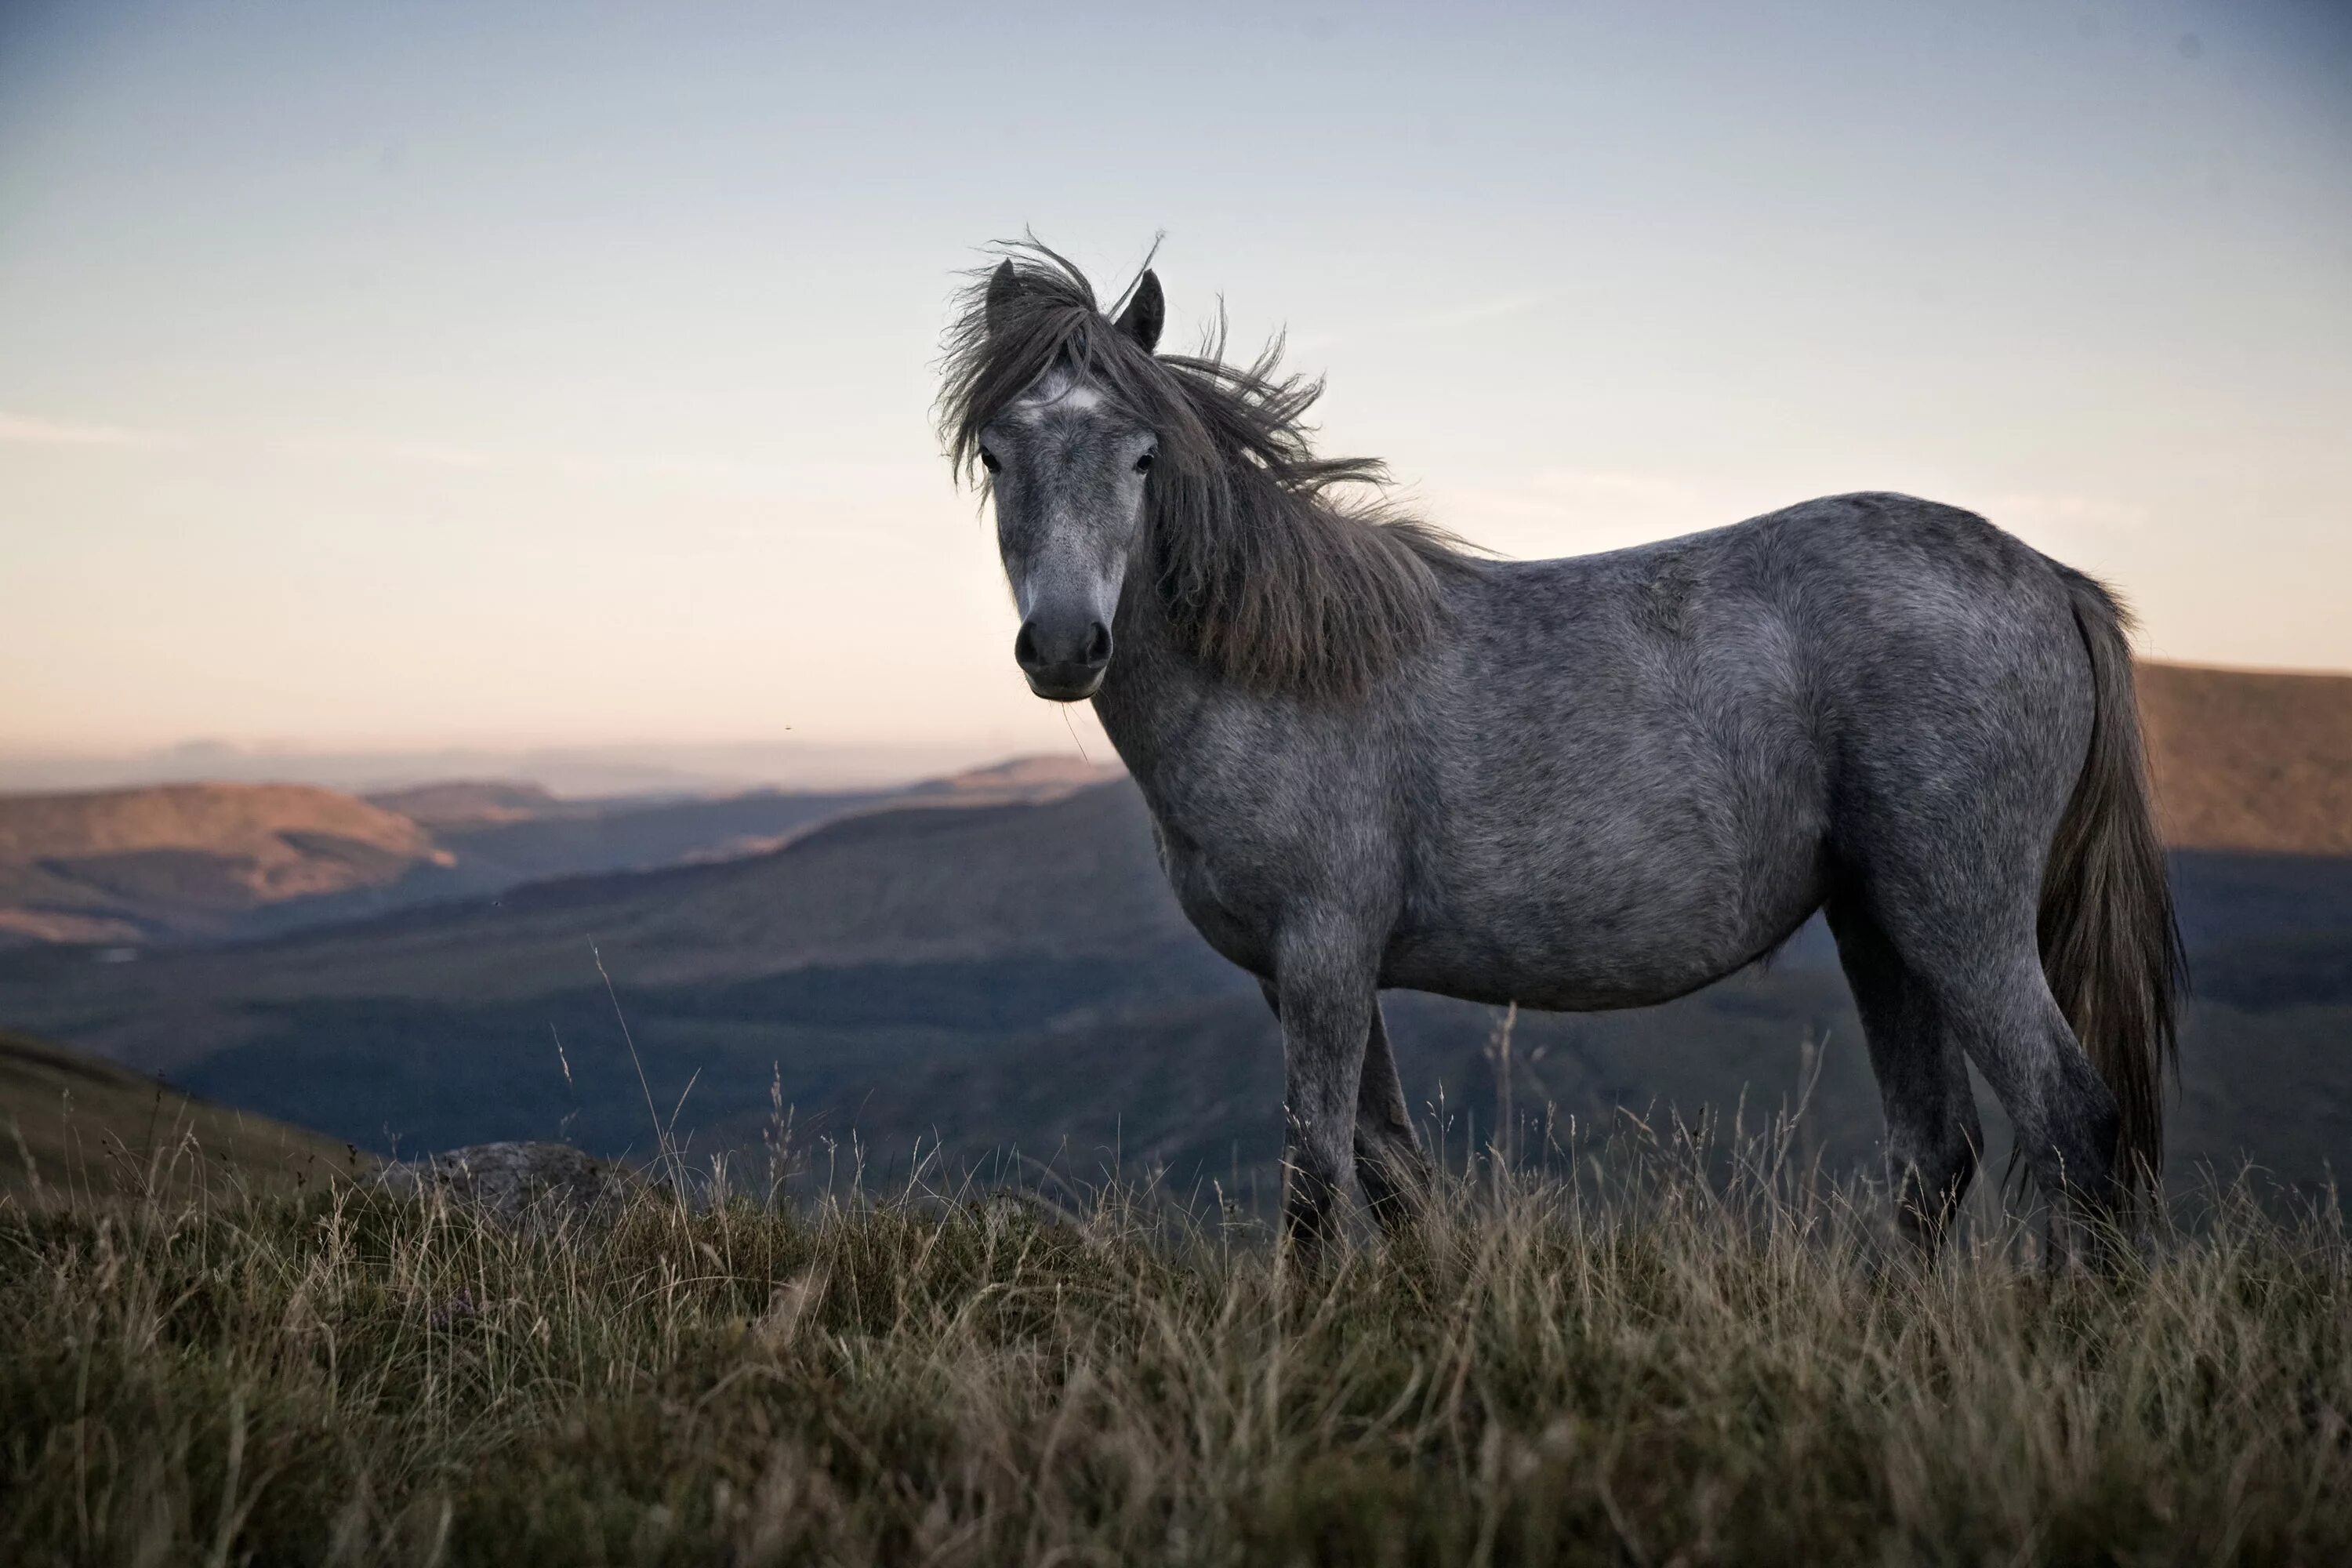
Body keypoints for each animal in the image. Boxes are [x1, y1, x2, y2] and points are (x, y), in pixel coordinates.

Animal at [927, 245, 2173, 1260]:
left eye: (1142, 457)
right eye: (996, 452)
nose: (1065, 645)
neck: (1280, 669)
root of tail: (2053, 579)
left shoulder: (1324, 957)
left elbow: (1316, 1183)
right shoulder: (1306, 976)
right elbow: (1390, 1172)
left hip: (1961, 920)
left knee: (2071, 1121)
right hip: (1881, 924)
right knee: (1937, 1151)